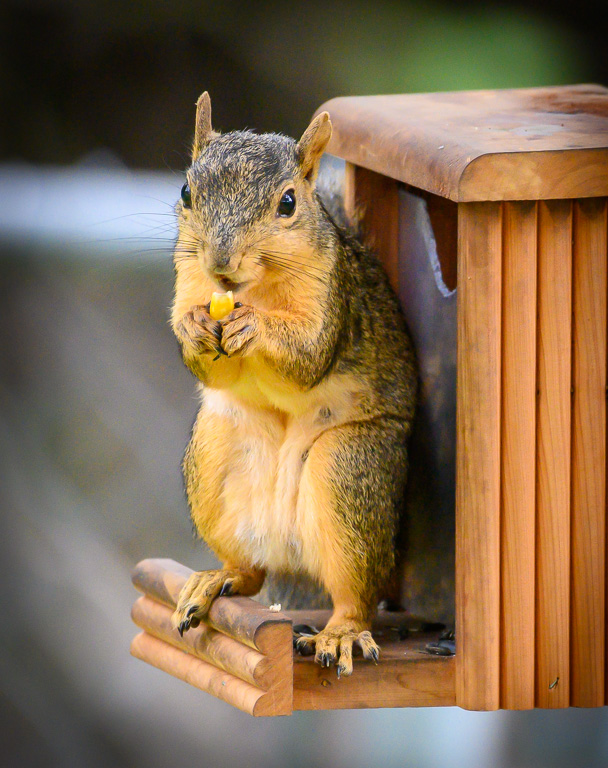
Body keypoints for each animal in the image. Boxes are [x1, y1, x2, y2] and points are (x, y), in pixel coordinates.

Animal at [171, 93, 418, 676]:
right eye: (187, 192)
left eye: (287, 203)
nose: (220, 263)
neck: (252, 288)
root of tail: (289, 546)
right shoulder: (188, 277)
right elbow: (204, 361)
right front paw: (192, 327)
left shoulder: (332, 295)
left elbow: (308, 358)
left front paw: (257, 329)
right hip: (216, 453)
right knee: (251, 571)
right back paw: (218, 577)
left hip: (348, 468)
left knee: (356, 592)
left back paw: (342, 633)